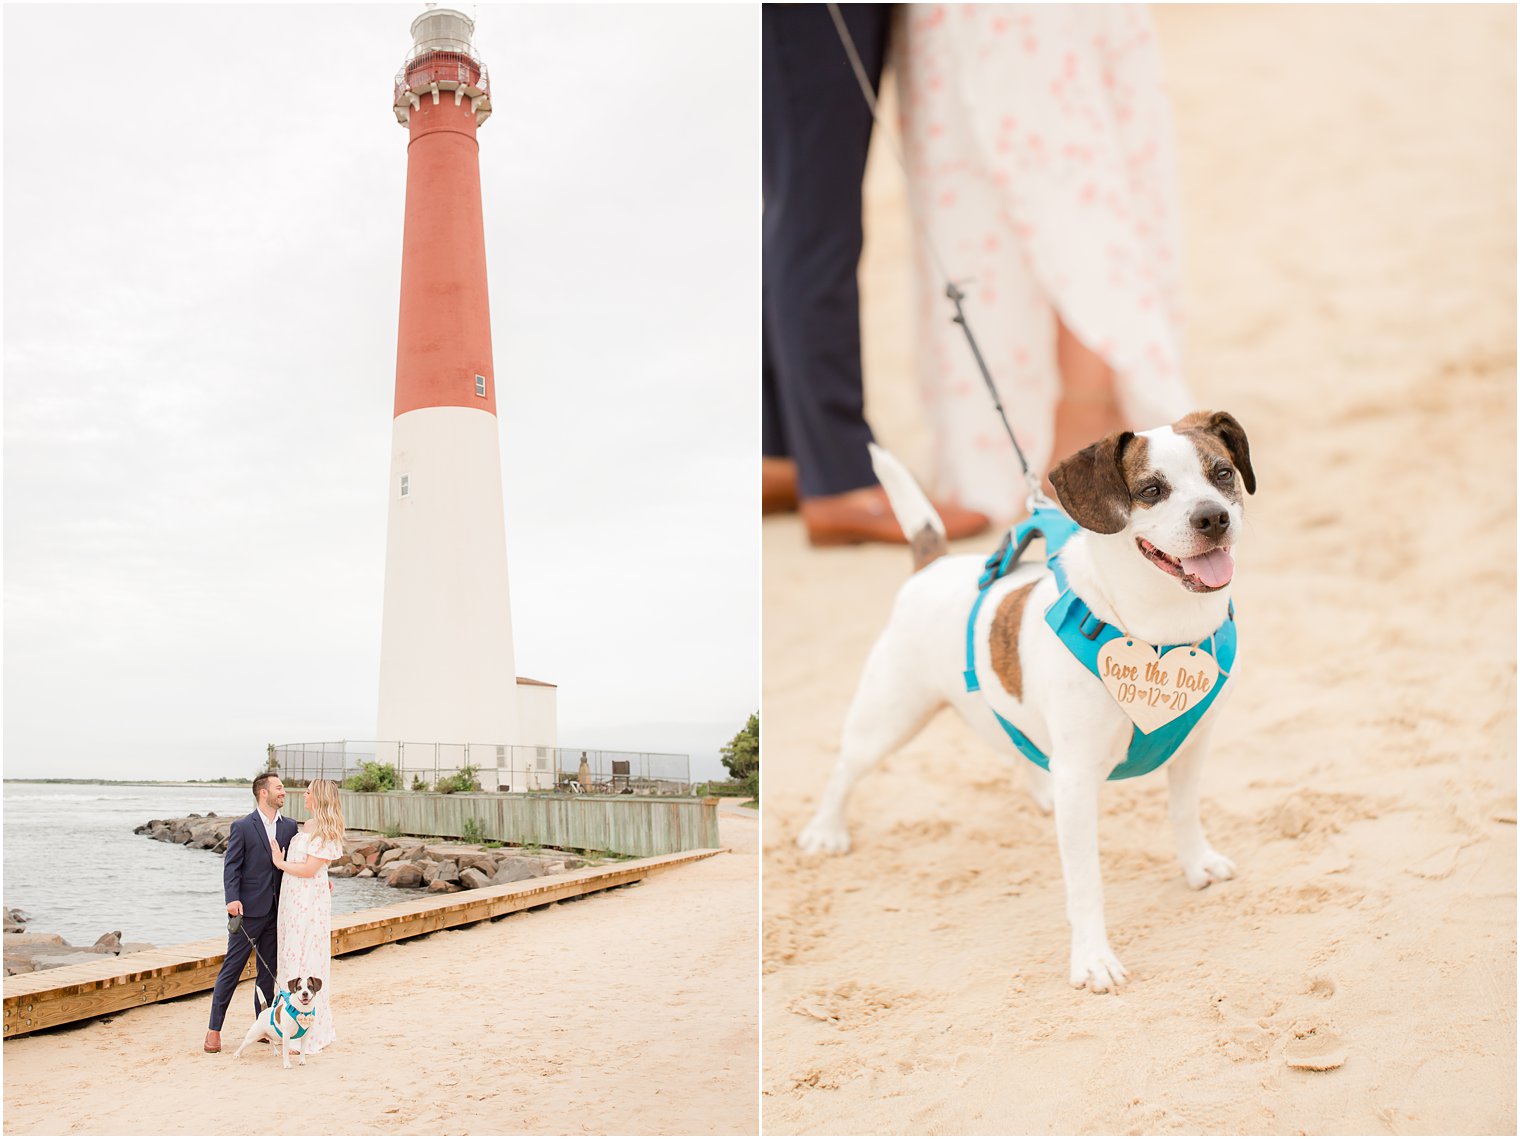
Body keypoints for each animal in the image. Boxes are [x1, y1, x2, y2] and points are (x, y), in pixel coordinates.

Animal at [796, 413, 1258, 991]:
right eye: (1151, 491)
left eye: (1222, 473)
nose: (1214, 517)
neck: (1162, 632)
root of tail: (932, 566)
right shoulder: (1080, 774)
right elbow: (1085, 880)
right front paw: (1092, 958)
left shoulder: (1193, 744)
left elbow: (1183, 812)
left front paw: (1197, 864)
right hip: (887, 718)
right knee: (845, 769)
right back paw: (826, 830)